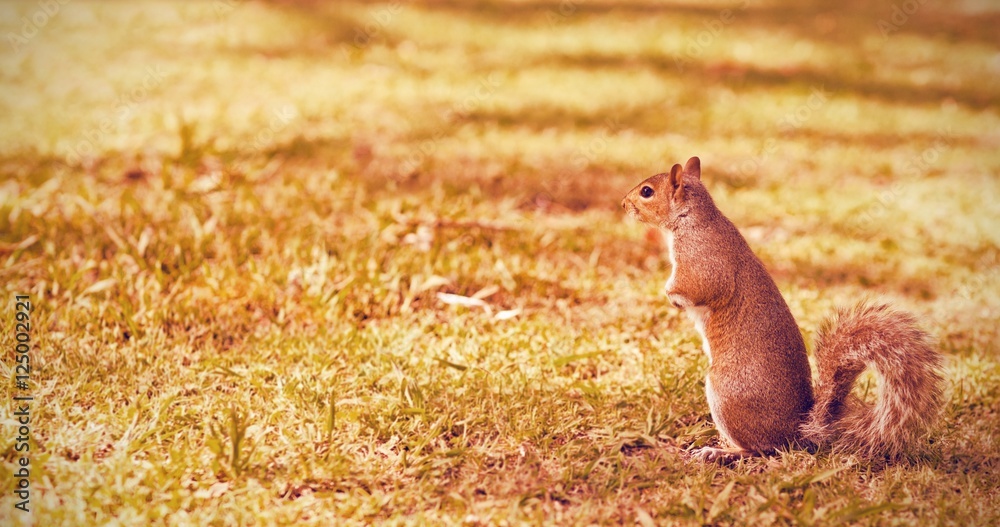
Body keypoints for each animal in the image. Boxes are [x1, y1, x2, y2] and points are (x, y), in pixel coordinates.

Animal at [620, 157, 940, 462]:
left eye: (647, 192)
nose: (623, 204)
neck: (691, 217)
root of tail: (797, 433)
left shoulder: (700, 259)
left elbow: (697, 287)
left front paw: (670, 295)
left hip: (725, 393)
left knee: (762, 448)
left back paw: (723, 451)